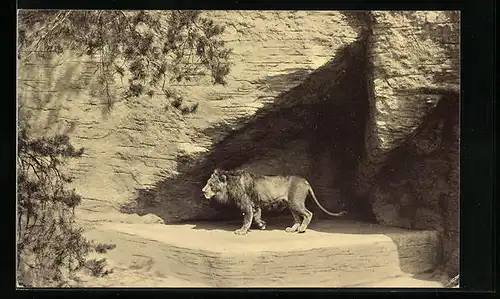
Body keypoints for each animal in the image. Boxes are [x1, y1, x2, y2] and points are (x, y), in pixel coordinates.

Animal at [201, 170, 346, 236]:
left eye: (210, 184)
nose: (203, 191)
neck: (230, 185)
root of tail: (305, 181)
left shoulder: (246, 205)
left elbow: (247, 220)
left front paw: (241, 231)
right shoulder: (255, 205)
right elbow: (256, 217)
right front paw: (262, 225)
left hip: (296, 203)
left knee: (308, 214)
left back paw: (302, 229)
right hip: (291, 205)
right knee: (297, 218)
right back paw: (292, 229)